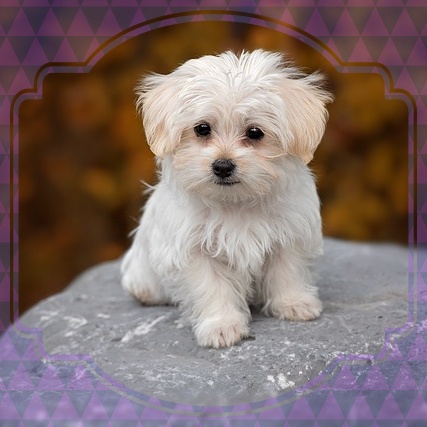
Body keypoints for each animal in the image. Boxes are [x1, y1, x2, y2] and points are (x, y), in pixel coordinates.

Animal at [121, 49, 333, 348]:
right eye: (202, 129)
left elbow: (287, 271)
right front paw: (221, 325)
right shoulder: (193, 249)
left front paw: (294, 303)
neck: (235, 202)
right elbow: (212, 287)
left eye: (255, 133)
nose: (222, 166)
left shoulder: (289, 232)